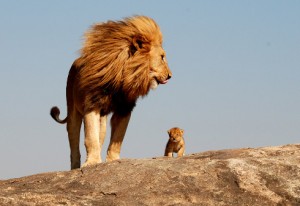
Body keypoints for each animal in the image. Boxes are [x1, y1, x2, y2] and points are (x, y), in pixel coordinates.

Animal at [50, 14, 172, 169]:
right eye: (162, 57)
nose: (170, 76)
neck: (122, 76)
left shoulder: (124, 108)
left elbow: (118, 138)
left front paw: (112, 160)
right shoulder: (92, 104)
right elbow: (90, 137)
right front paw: (92, 162)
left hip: (102, 121)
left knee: (100, 137)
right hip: (73, 111)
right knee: (74, 141)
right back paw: (75, 167)